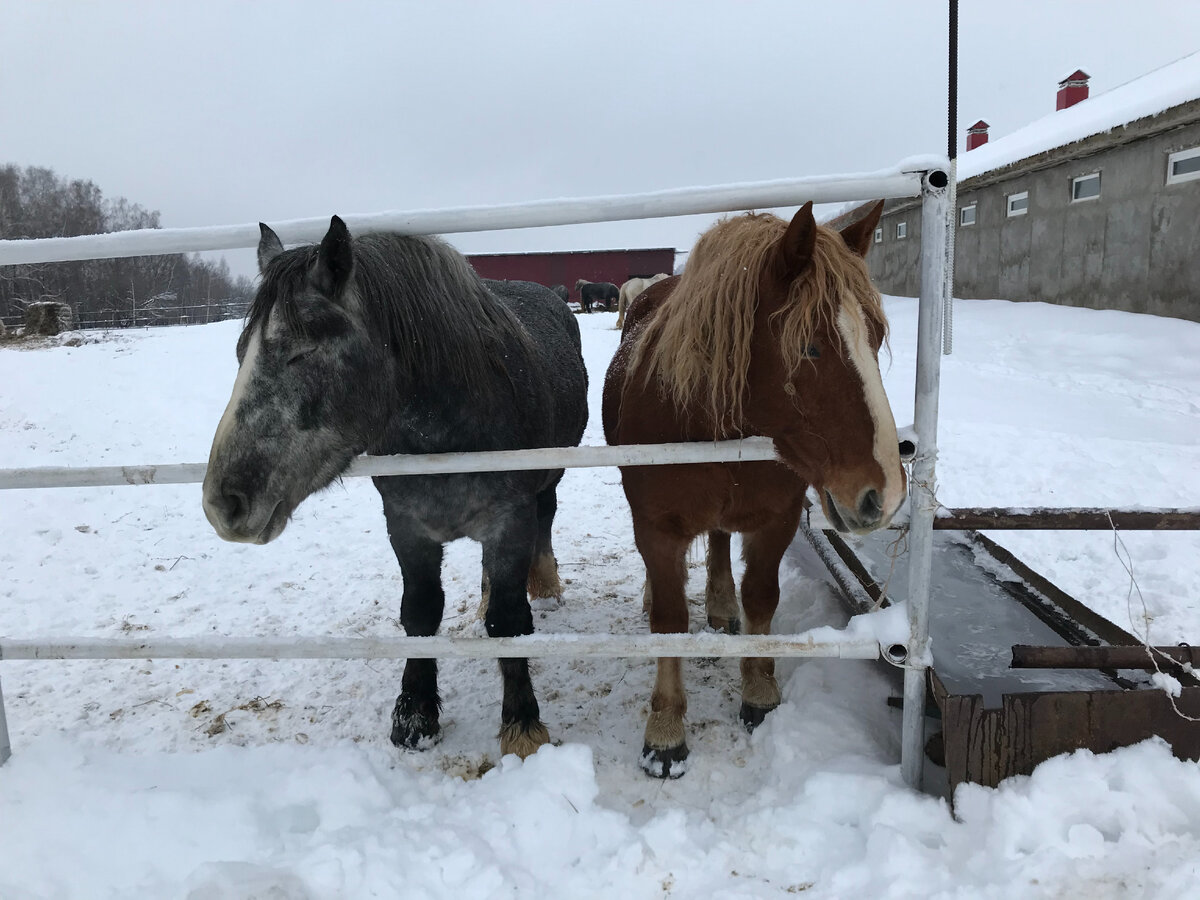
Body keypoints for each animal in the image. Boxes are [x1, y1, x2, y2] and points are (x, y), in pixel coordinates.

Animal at [206, 218, 590, 763]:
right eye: (242, 353)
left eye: (302, 351)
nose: (224, 502)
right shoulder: (407, 527)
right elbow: (420, 613)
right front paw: (414, 714)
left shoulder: (509, 521)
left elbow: (510, 619)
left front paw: (522, 725)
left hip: (550, 478)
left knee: (547, 518)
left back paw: (546, 583)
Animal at [604, 200, 902, 777]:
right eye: (809, 347)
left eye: (875, 336)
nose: (883, 494)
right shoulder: (657, 528)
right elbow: (669, 619)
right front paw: (666, 732)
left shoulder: (776, 519)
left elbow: (762, 599)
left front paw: (759, 693)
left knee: (721, 540)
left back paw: (722, 605)